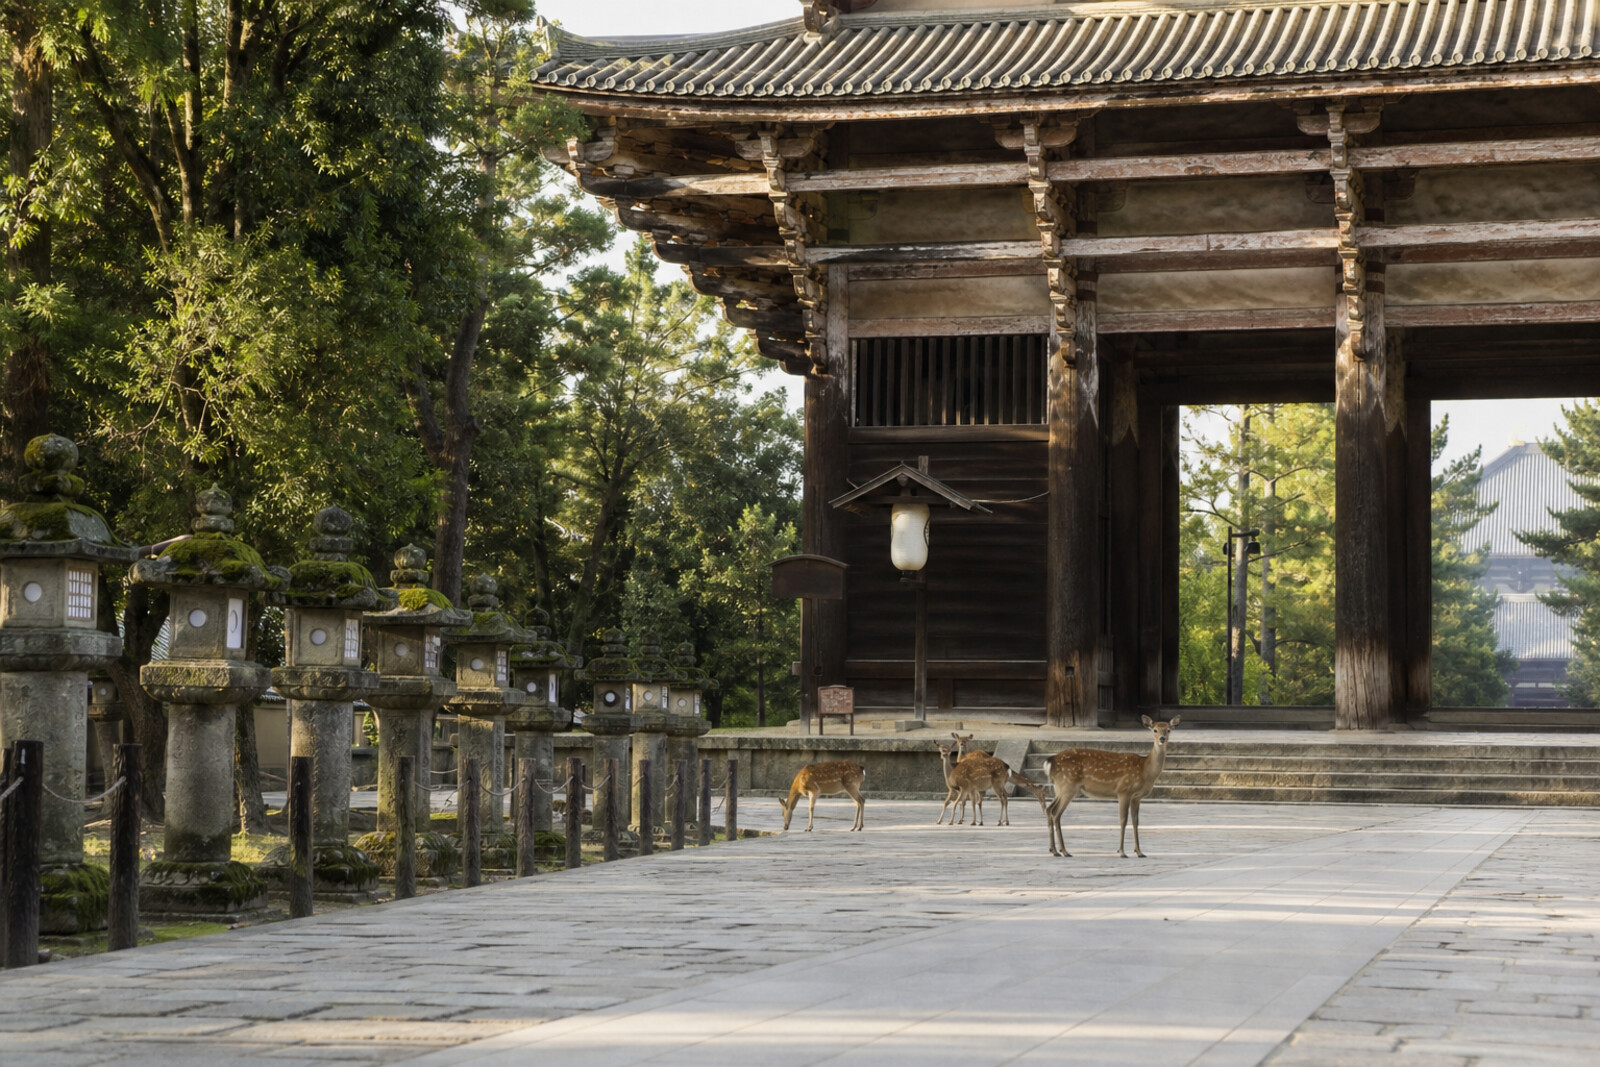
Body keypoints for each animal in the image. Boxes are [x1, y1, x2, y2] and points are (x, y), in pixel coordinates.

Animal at [1043, 714, 1181, 858]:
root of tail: (1050, 761)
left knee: (1049, 809)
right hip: (1067, 785)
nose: (1162, 738)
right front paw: (1121, 852)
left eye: (1168, 730)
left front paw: (1139, 852)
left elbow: (1136, 821)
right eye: (1155, 730)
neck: (1145, 771)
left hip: (1061, 788)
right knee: (1056, 813)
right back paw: (1064, 851)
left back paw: (1054, 850)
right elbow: (1123, 820)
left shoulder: (1136, 797)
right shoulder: (1123, 791)